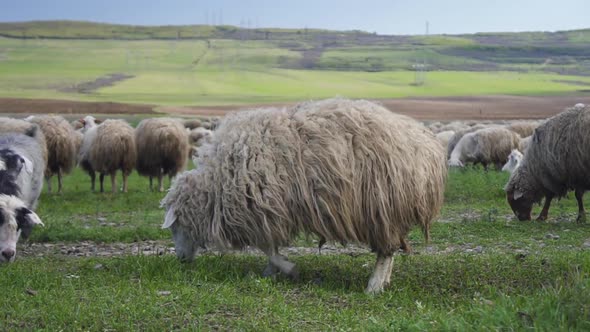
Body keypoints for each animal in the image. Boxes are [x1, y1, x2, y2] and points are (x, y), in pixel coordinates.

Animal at [160, 98, 446, 294]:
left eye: (176, 225)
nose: (181, 260)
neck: (217, 182)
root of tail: (426, 145)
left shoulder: (264, 207)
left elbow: (268, 247)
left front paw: (287, 269)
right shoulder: (270, 211)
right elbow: (270, 247)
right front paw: (271, 271)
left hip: (382, 205)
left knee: (386, 252)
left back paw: (373, 287)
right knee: (392, 250)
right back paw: (383, 282)